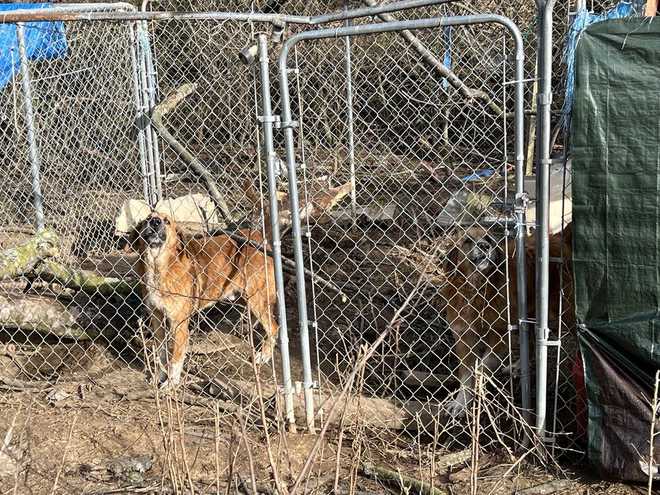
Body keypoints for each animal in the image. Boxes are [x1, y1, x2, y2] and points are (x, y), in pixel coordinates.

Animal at [130, 211, 278, 390]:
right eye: (147, 219)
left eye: (167, 221)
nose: (155, 222)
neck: (158, 266)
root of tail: (258, 236)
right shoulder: (156, 319)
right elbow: (161, 354)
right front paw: (158, 377)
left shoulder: (179, 326)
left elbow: (175, 360)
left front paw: (170, 384)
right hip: (245, 297)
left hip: (256, 297)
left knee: (273, 327)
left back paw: (263, 356)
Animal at [444, 225, 572, 418]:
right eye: (467, 240)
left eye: (488, 239)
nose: (484, 246)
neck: (476, 288)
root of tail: (558, 238)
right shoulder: (464, 337)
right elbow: (466, 374)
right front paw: (462, 403)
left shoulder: (501, 335)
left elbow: (481, 366)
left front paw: (479, 385)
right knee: (531, 343)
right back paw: (519, 367)